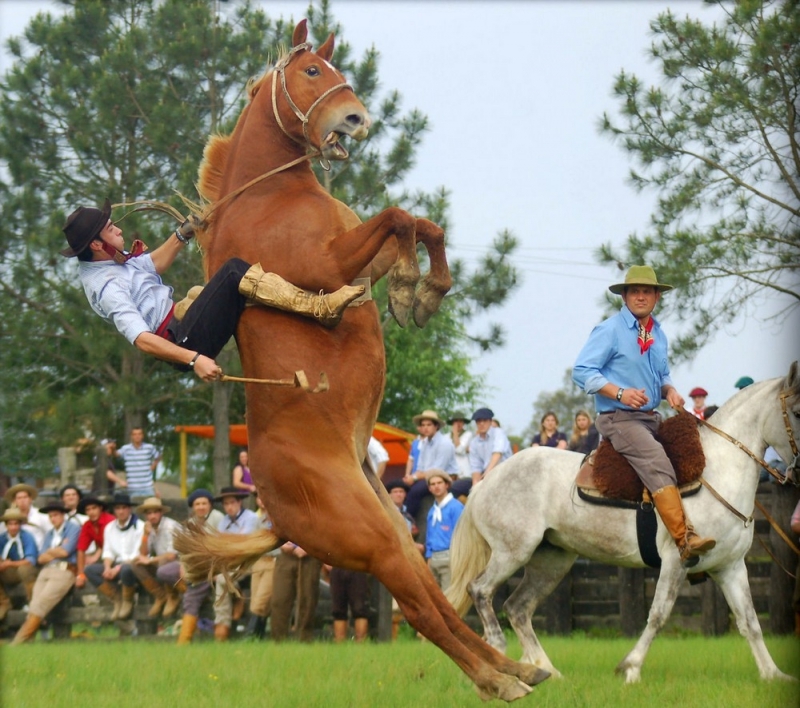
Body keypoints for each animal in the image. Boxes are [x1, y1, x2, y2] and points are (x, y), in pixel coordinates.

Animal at [173, 20, 552, 704]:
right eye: (312, 72)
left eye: (337, 69)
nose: (356, 118)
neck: (268, 195)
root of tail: (273, 510)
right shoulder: (324, 264)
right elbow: (400, 217)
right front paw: (412, 288)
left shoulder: (356, 257)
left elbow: (418, 224)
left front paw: (417, 291)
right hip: (368, 539)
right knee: (423, 611)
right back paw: (499, 679)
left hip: (392, 527)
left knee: (435, 597)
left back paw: (513, 668)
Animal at [446, 362, 796, 684]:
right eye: (796, 410)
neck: (716, 471)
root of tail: (485, 482)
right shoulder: (676, 561)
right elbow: (658, 616)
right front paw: (631, 668)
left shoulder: (730, 567)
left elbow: (750, 622)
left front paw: (773, 674)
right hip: (513, 552)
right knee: (480, 590)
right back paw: (499, 652)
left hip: (551, 561)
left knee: (518, 607)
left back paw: (545, 670)